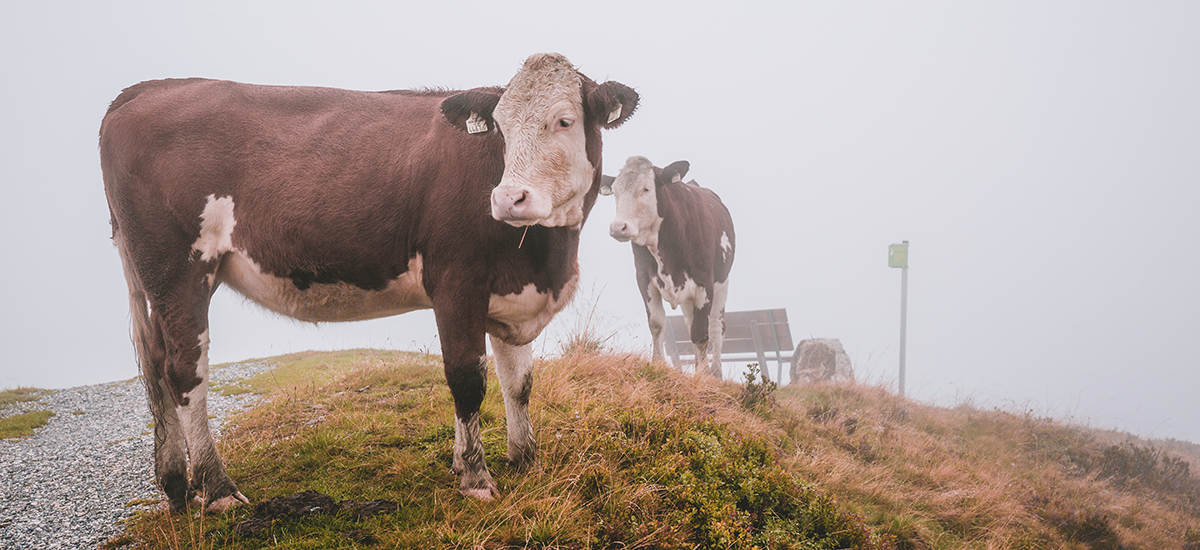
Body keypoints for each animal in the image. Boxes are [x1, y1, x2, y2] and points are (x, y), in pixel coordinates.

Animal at [103, 52, 643, 511]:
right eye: (501, 129)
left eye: (564, 120)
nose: (508, 199)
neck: (543, 260)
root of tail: (146, 90)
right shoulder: (456, 282)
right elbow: (467, 379)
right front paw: (475, 478)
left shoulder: (510, 294)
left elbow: (520, 383)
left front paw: (523, 461)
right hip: (177, 266)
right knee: (184, 370)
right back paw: (216, 490)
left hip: (164, 277)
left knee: (156, 363)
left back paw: (176, 486)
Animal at [597, 157, 729, 377]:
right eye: (615, 191)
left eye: (646, 188)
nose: (618, 227)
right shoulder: (644, 278)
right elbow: (657, 324)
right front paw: (657, 363)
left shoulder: (705, 282)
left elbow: (701, 333)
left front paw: (702, 376)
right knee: (690, 322)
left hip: (722, 285)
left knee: (716, 327)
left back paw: (716, 373)